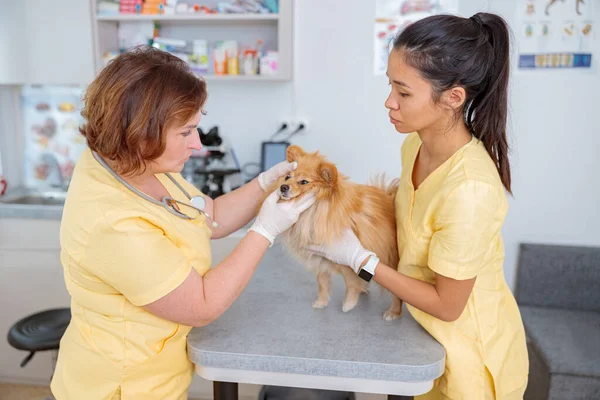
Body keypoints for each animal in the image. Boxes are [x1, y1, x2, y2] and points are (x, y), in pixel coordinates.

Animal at [264, 145, 400, 320]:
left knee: (397, 294)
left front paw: (349, 303)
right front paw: (321, 302)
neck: (313, 211)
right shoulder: (320, 259)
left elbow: (351, 282)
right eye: (287, 177)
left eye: (304, 182)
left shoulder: (347, 261)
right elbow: (322, 283)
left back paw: (394, 312)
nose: (283, 187)